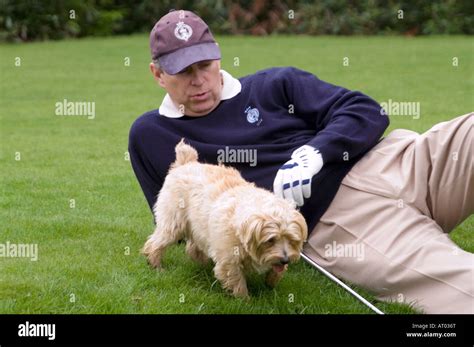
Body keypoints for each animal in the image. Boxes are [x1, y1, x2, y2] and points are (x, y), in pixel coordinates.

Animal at [143, 140, 310, 298]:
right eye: (270, 240)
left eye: (292, 240)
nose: (285, 260)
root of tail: (186, 162)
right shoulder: (229, 260)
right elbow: (237, 282)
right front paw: (245, 301)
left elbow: (275, 272)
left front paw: (272, 280)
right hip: (174, 222)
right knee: (156, 242)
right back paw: (156, 264)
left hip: (198, 226)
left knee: (192, 248)